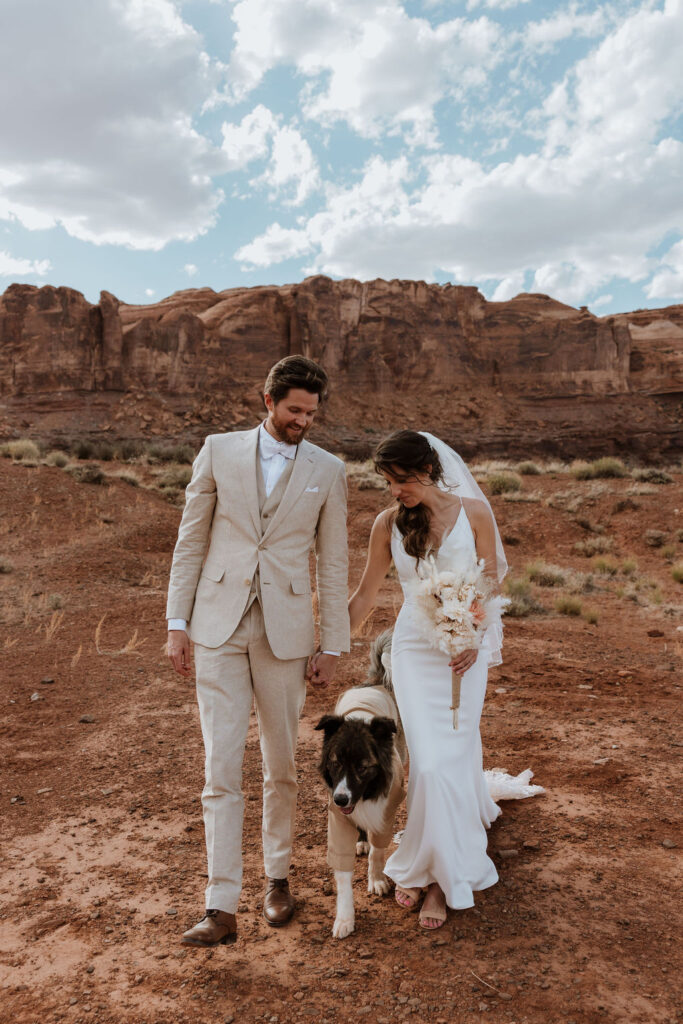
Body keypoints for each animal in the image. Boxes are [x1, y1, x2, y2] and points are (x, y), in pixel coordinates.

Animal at [315, 626, 405, 937]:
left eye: (363, 767)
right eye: (335, 763)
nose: (341, 798)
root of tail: (375, 683)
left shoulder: (385, 812)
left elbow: (378, 852)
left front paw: (376, 880)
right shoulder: (337, 820)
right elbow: (342, 877)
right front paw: (345, 918)